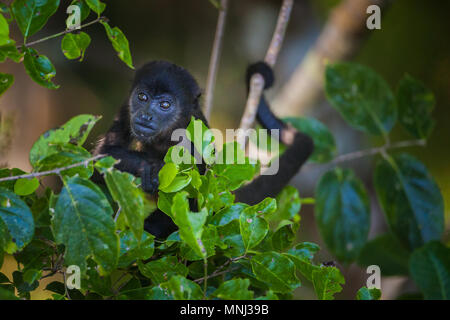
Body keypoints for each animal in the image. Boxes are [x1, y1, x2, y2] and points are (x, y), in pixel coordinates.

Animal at [94, 61, 312, 239]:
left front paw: (154, 170)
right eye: (142, 97)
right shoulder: (126, 109)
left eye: (164, 104)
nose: (145, 116)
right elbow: (103, 155)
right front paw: (149, 168)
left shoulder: (194, 135)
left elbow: (192, 203)